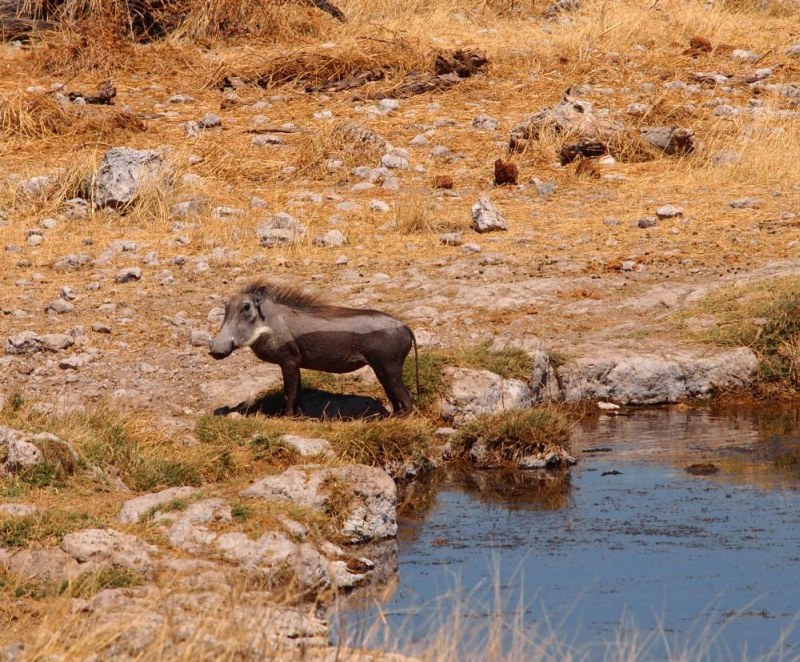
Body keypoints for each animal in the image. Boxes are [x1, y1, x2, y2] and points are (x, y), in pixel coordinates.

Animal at [209, 278, 418, 416]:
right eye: (225, 306)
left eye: (246, 307)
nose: (216, 350)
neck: (268, 323)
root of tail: (405, 326)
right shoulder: (296, 363)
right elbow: (298, 391)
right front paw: (300, 416)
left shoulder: (289, 361)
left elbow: (290, 393)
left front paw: (287, 417)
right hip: (381, 369)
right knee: (394, 396)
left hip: (390, 367)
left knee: (406, 397)